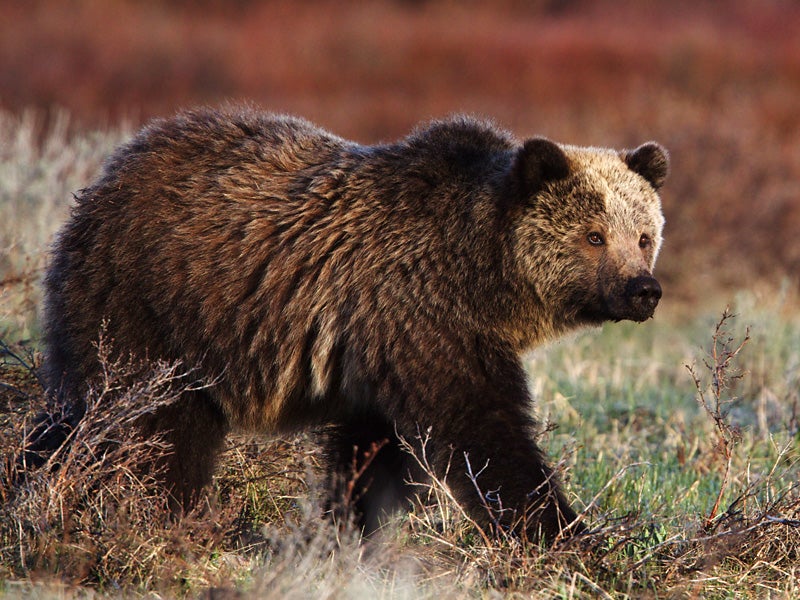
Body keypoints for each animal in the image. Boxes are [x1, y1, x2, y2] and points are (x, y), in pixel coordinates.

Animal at [40, 108, 664, 544]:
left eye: (643, 236)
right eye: (593, 235)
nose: (644, 290)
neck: (480, 271)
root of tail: (111, 170)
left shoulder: (384, 348)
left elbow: (371, 453)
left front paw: (349, 531)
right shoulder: (418, 313)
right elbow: (481, 431)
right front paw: (564, 535)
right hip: (150, 305)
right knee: (152, 424)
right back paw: (165, 515)